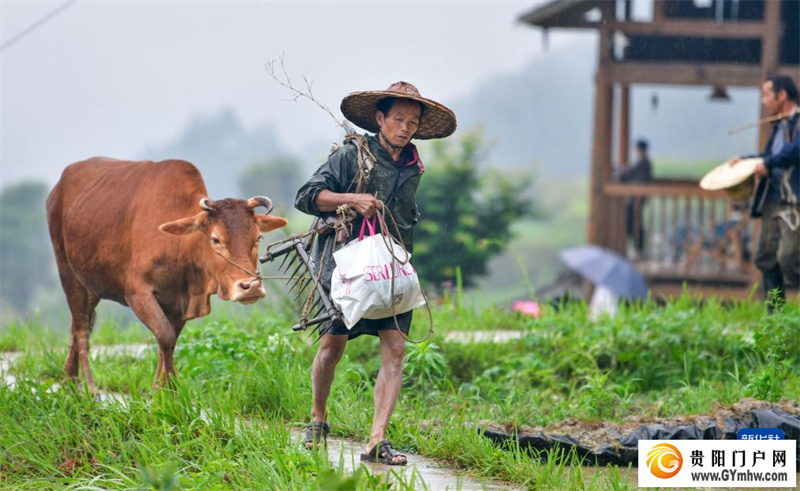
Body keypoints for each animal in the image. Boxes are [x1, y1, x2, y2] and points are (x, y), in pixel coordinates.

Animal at [44, 158, 288, 392]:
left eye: (258, 237)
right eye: (216, 239)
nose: (251, 286)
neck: (179, 247)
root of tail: (58, 186)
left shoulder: (180, 303)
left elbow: (168, 341)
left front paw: (161, 387)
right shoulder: (137, 294)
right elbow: (165, 336)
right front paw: (170, 389)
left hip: (92, 282)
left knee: (82, 321)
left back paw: (68, 376)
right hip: (67, 270)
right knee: (80, 326)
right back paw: (88, 385)